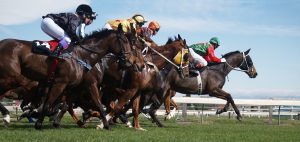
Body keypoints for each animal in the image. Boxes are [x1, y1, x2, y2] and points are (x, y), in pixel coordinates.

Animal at [0, 28, 138, 129]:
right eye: (125, 41)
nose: (130, 62)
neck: (82, 56)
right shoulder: (63, 83)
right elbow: (49, 104)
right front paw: (39, 123)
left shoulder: (72, 87)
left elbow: (95, 104)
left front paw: (106, 124)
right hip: (12, 78)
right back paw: (8, 116)